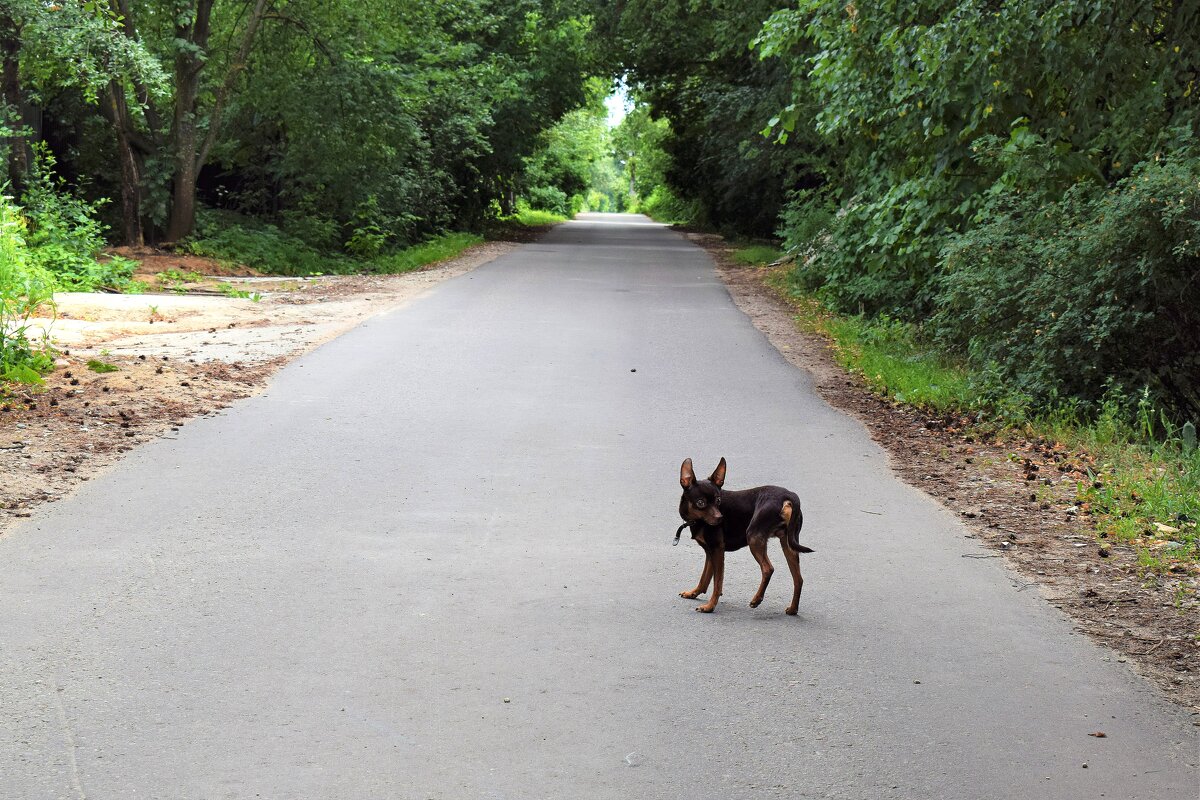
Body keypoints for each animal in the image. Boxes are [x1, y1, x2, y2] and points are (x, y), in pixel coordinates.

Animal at [676, 455, 816, 614]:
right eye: (701, 503)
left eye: (718, 500)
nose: (720, 518)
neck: (698, 521)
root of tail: (789, 496)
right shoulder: (710, 552)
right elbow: (705, 577)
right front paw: (693, 593)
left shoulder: (717, 550)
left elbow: (717, 582)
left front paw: (710, 606)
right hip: (788, 544)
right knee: (798, 578)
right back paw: (793, 609)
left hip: (754, 537)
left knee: (768, 569)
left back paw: (757, 599)